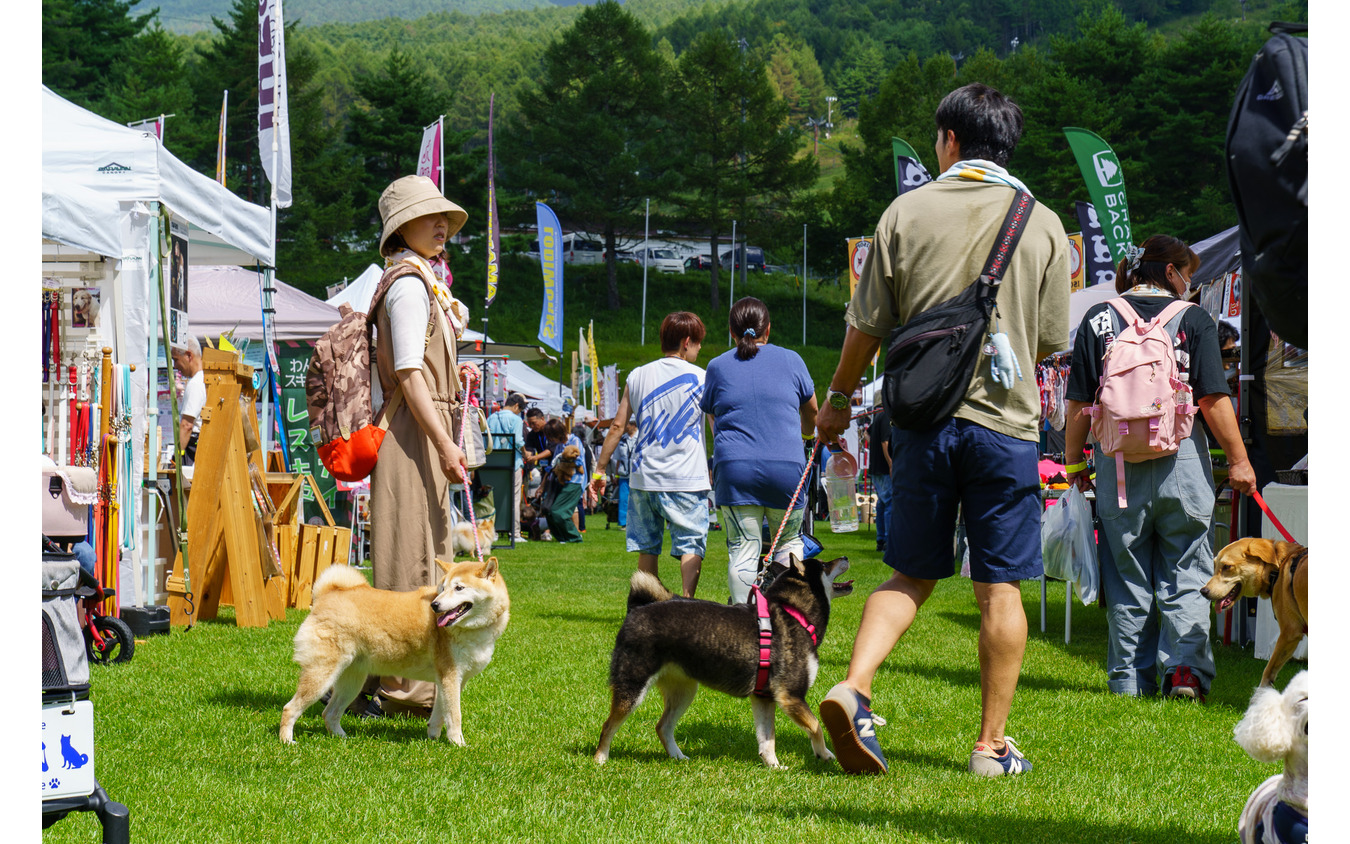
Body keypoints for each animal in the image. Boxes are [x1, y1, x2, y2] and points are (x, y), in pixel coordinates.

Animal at [594, 556, 847, 767]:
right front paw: (824, 754)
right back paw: (600, 759)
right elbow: (816, 726)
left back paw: (678, 756)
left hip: (684, 691)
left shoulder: (764, 698)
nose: (844, 557)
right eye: (825, 565)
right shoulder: (790, 696)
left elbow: (767, 740)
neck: (796, 614)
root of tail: (637, 609)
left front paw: (773, 766)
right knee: (608, 726)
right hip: (633, 689)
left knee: (662, 727)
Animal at [1204, 540, 1306, 686]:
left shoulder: (1289, 633)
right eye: (1214, 565)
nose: (1203, 591)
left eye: (1227, 566)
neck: (1276, 570)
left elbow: (1268, 672)